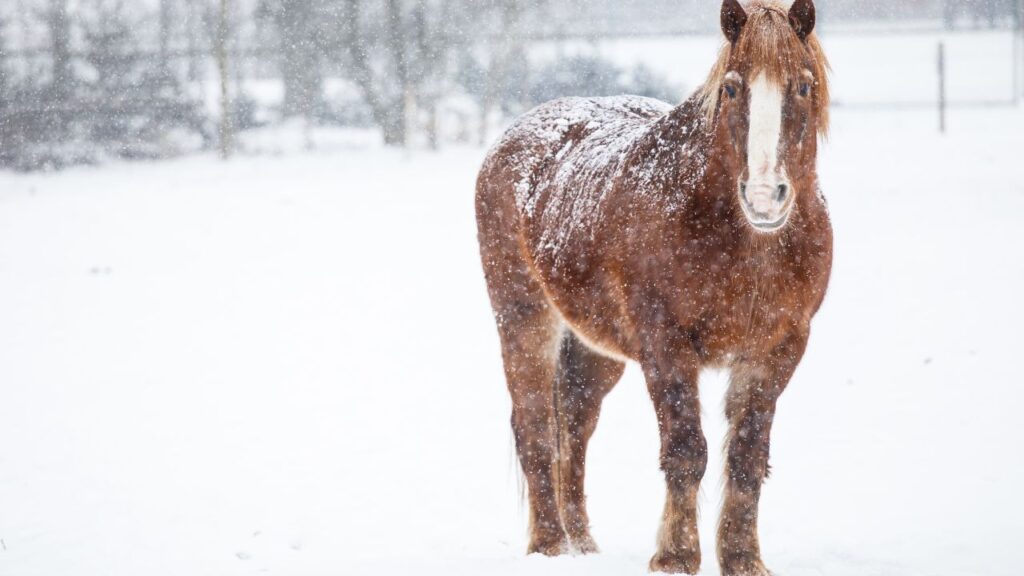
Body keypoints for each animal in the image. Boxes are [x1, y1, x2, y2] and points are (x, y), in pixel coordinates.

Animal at [475, 0, 832, 573]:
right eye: (732, 88)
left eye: (802, 85)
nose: (764, 197)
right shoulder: (666, 347)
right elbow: (687, 451)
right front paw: (676, 555)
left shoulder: (777, 350)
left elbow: (747, 456)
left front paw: (742, 558)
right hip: (524, 320)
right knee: (535, 427)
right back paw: (550, 546)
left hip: (597, 351)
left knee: (574, 424)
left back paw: (582, 544)